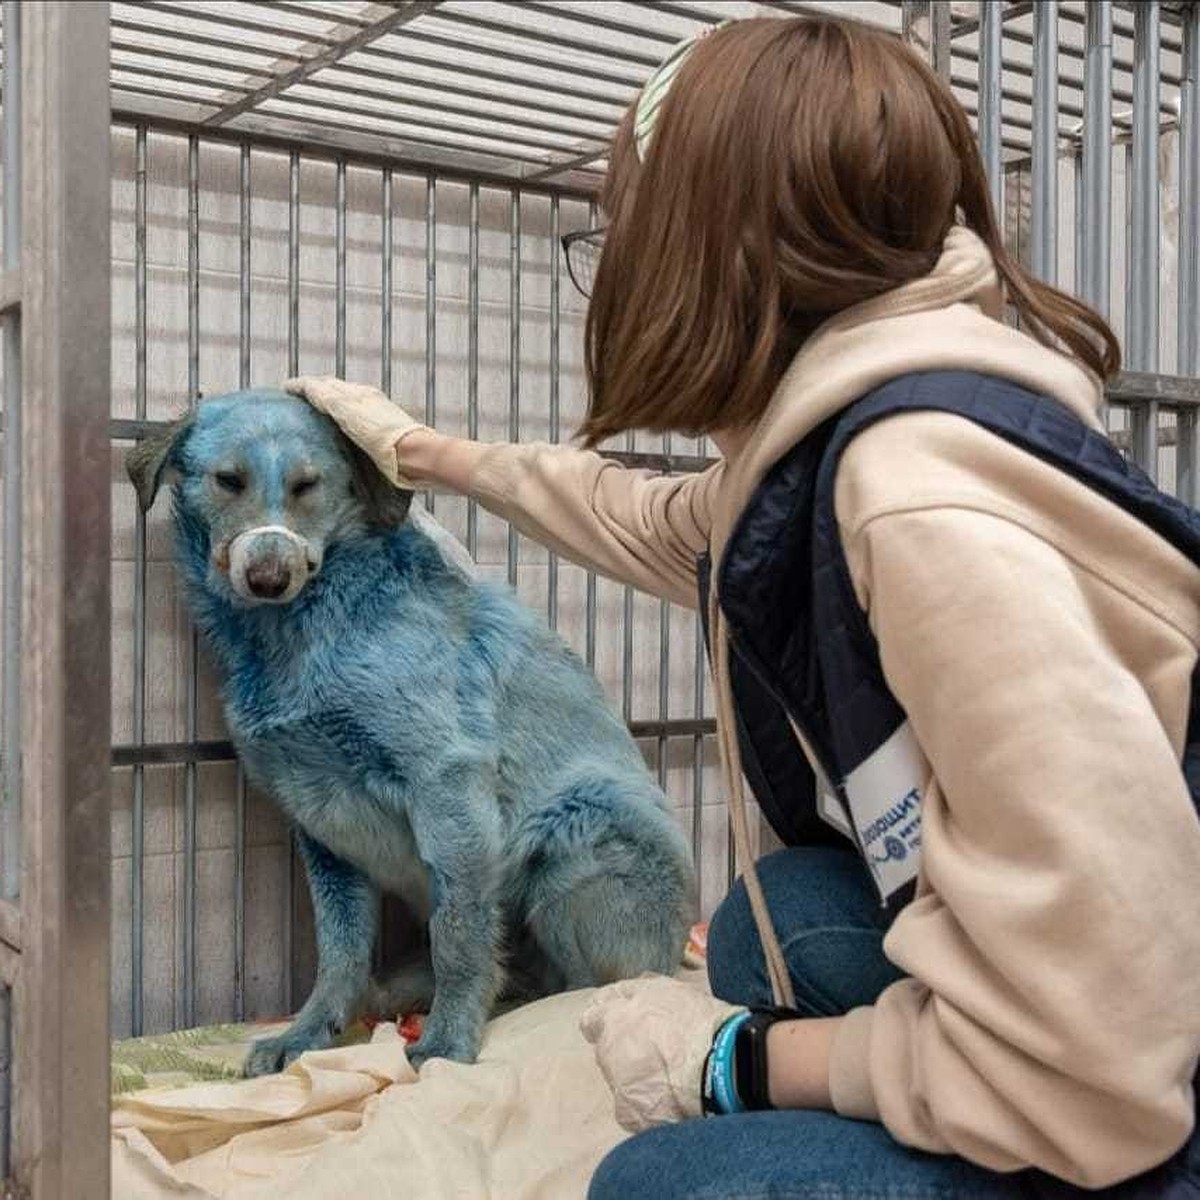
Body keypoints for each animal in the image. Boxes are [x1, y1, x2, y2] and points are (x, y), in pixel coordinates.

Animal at [126, 393, 696, 1080]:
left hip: (579, 837)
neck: (300, 633)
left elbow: (460, 934)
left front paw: (450, 1040)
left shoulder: (447, 786)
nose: (268, 576)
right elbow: (339, 950)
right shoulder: (320, 822)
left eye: (307, 485)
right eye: (228, 481)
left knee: (583, 989)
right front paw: (308, 1034)